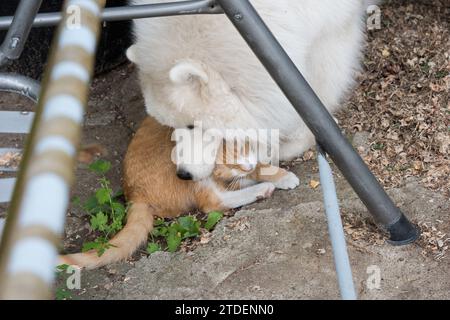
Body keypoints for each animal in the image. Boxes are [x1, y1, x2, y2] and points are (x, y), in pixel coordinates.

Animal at [126, 0, 372, 180]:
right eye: (171, 126)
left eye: (191, 125)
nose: (183, 174)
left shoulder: (332, 28)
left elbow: (318, 90)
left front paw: (297, 141)